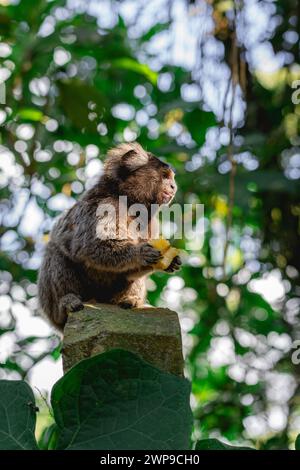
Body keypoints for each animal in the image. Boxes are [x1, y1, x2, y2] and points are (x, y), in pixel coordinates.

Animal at [37, 143, 180, 330]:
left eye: (172, 179)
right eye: (165, 176)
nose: (173, 187)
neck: (129, 203)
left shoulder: (151, 223)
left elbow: (130, 270)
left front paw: (170, 261)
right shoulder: (103, 206)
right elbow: (90, 247)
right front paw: (139, 253)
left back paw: (130, 300)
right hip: (53, 305)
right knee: (55, 251)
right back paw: (66, 302)